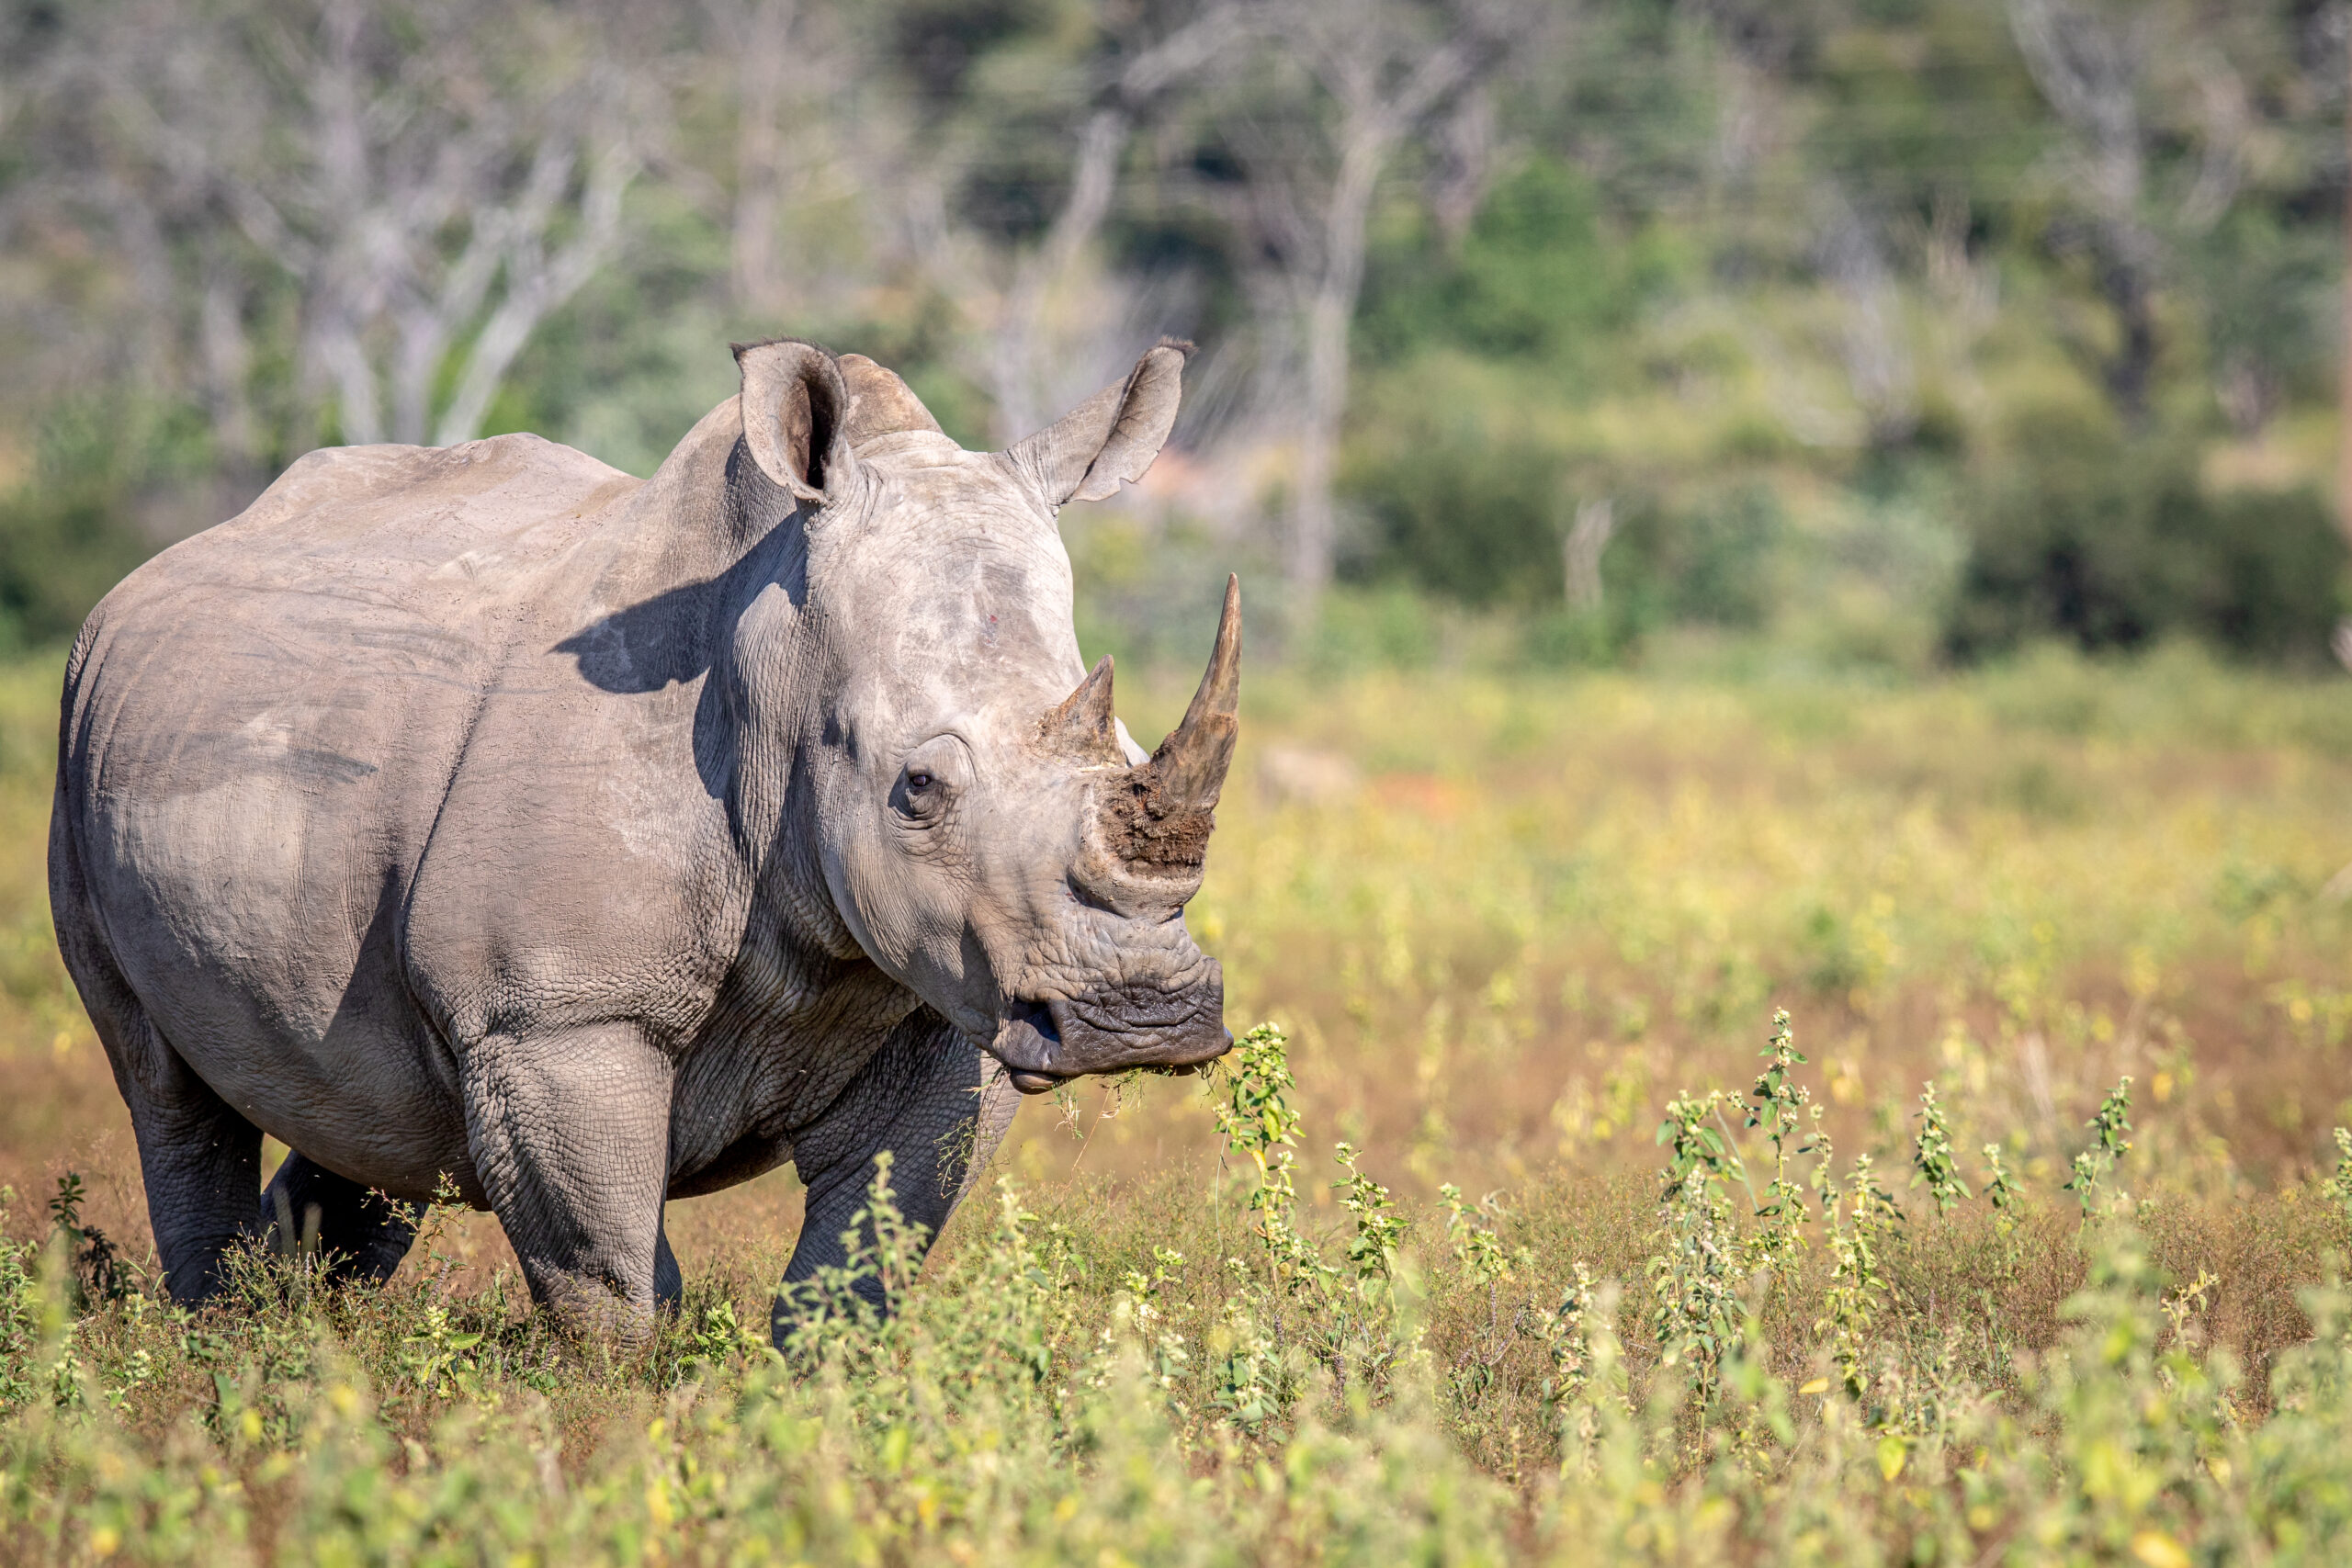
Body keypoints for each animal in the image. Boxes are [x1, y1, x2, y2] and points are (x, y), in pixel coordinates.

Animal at [45, 333, 1241, 1335]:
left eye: (1129, 749)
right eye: (919, 788)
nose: (1143, 1020)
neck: (779, 667)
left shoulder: (959, 1012)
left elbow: (855, 1269)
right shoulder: (555, 1019)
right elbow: (613, 1287)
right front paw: (626, 1424)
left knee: (367, 1124)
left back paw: (289, 1335)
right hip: (78, 734)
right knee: (168, 1092)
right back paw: (217, 1342)